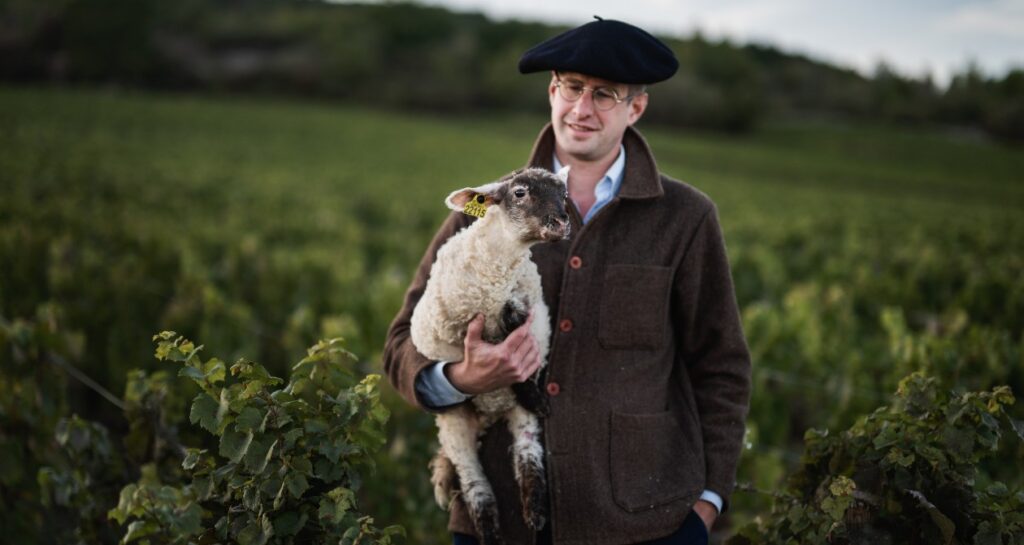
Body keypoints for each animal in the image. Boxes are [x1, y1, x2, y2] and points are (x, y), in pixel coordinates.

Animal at [407, 166, 569, 545]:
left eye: (565, 194)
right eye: (520, 193)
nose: (562, 222)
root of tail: (489, 414)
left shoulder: (528, 312)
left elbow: (519, 347)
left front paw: (537, 397)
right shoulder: (454, 328)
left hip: (520, 418)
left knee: (527, 455)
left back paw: (535, 513)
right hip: (454, 425)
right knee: (474, 484)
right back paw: (491, 530)